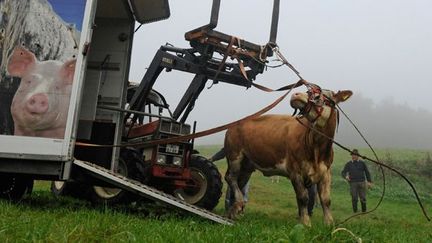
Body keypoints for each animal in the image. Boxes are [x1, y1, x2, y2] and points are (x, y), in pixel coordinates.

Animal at [224, 84, 352, 225]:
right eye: (308, 90)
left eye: (319, 96)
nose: (296, 94)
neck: (317, 149)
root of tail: (233, 124)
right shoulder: (295, 170)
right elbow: (303, 198)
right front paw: (306, 223)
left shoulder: (326, 171)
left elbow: (326, 199)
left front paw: (329, 224)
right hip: (234, 154)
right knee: (230, 178)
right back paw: (238, 203)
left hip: (247, 165)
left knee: (239, 182)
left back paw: (232, 212)